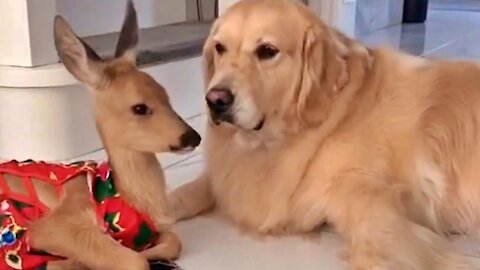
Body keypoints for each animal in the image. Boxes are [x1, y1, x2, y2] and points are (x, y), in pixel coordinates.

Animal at [0, 1, 200, 268]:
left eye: (166, 95)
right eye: (139, 108)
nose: (193, 137)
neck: (128, 198)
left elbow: (172, 242)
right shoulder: (51, 226)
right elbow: (134, 260)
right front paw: (69, 262)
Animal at [170, 0, 480, 268]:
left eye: (267, 51)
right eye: (220, 48)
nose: (215, 100)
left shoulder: (368, 196)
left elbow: (380, 246)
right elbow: (187, 192)